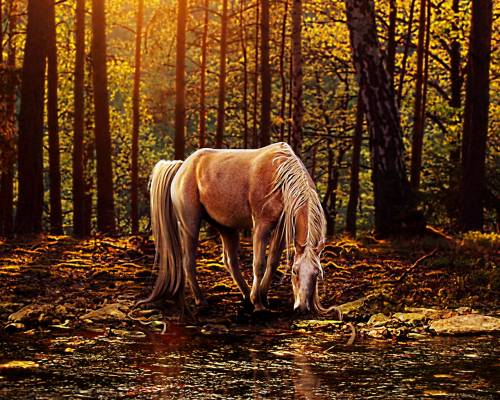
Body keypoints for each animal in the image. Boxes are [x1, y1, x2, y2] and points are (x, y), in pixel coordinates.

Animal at [141, 142, 342, 318]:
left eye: (317, 274)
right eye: (294, 271)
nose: (302, 308)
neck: (279, 176)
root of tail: (183, 166)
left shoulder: (280, 229)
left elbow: (272, 262)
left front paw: (262, 297)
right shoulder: (261, 225)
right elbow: (259, 264)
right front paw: (259, 304)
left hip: (226, 228)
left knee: (230, 261)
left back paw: (245, 295)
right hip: (189, 225)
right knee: (188, 262)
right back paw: (202, 300)